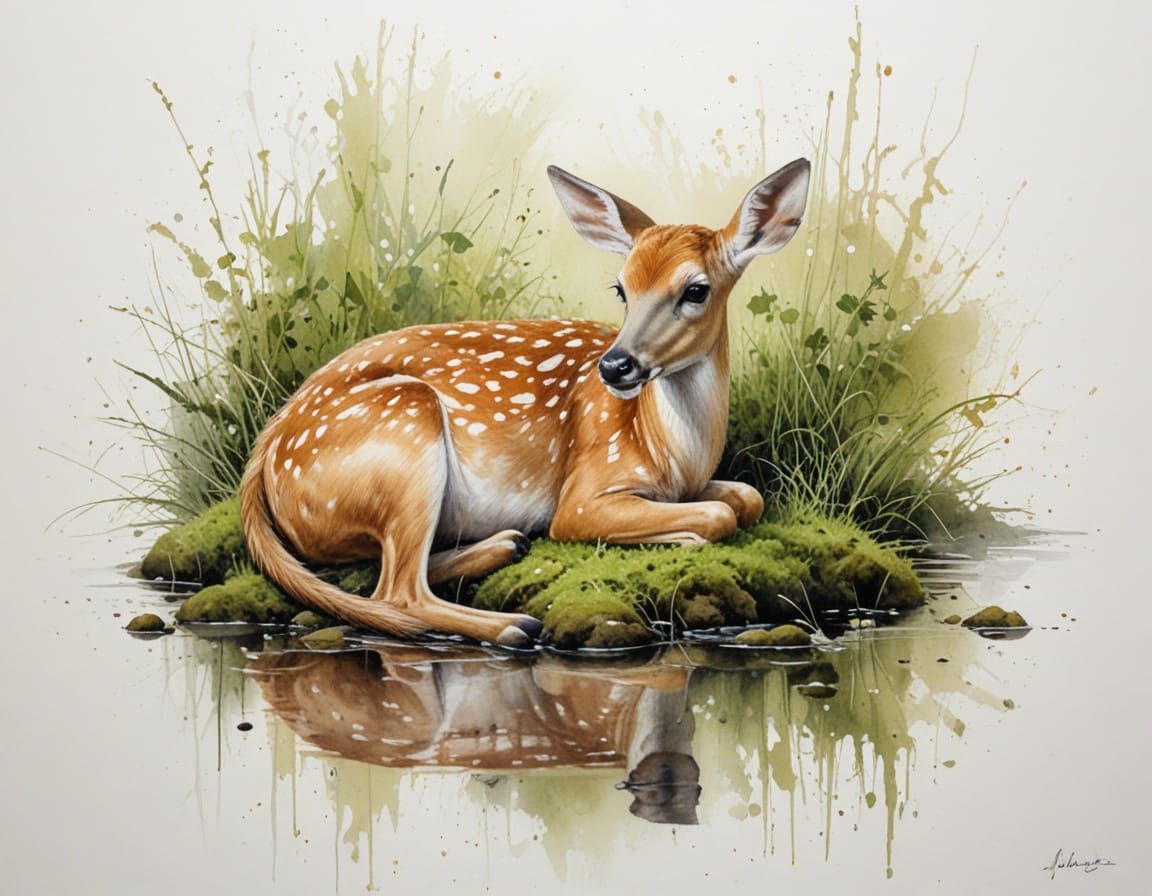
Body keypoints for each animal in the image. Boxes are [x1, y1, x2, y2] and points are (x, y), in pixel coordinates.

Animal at [239, 157, 811, 647]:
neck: (672, 452)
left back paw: (504, 546)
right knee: (396, 592)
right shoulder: (582, 496)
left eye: (696, 290)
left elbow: (747, 498)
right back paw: (513, 626)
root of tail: (264, 455)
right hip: (405, 432)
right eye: (621, 288)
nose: (615, 366)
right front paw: (684, 537)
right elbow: (719, 514)